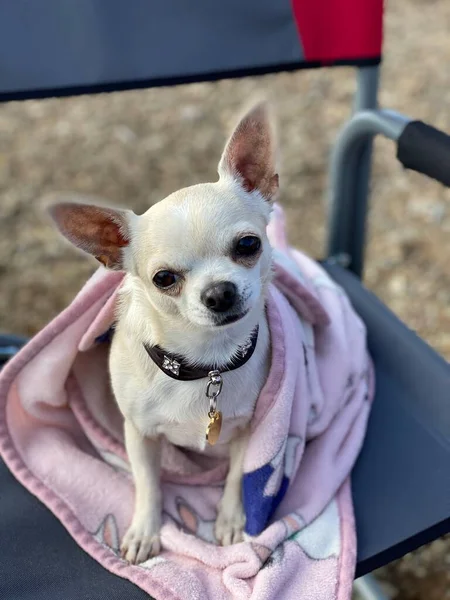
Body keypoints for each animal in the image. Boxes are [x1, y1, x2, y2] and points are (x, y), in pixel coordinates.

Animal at [51, 101, 280, 564]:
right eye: (163, 279)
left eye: (248, 245)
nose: (219, 292)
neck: (207, 364)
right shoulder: (138, 434)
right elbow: (148, 483)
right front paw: (145, 530)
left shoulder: (249, 430)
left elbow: (236, 475)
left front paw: (231, 519)